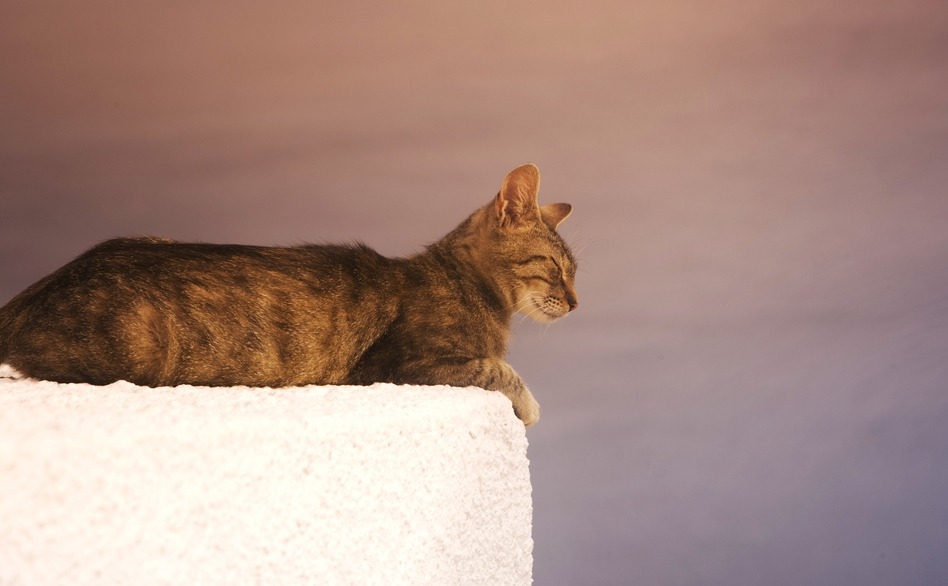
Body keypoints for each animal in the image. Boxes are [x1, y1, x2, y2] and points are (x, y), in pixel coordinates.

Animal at [0, 164, 576, 424]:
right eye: (555, 268)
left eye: (576, 271)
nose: (576, 302)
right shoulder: (403, 364)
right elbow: (497, 370)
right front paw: (530, 406)